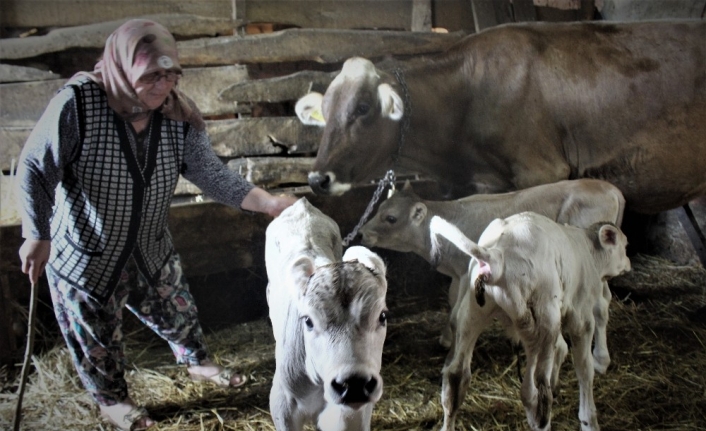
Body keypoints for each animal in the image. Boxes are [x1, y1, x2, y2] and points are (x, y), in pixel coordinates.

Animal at [264, 199, 388, 431]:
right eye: (308, 321)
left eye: (382, 316)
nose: (354, 383)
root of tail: (301, 204)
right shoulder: (282, 405)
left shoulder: (353, 415)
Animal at [360, 179, 624, 352]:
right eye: (379, 208)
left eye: (391, 218)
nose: (362, 232)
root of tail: (611, 189)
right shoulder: (456, 274)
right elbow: (451, 303)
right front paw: (446, 339)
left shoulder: (468, 272)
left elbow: (457, 313)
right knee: (605, 300)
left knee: (598, 302)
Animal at [426, 213, 628, 431]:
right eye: (624, 245)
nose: (628, 263)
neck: (589, 253)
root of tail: (496, 256)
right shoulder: (581, 316)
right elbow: (584, 368)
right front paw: (588, 420)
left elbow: (562, 348)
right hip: (542, 321)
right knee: (536, 393)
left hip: (473, 313)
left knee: (455, 376)